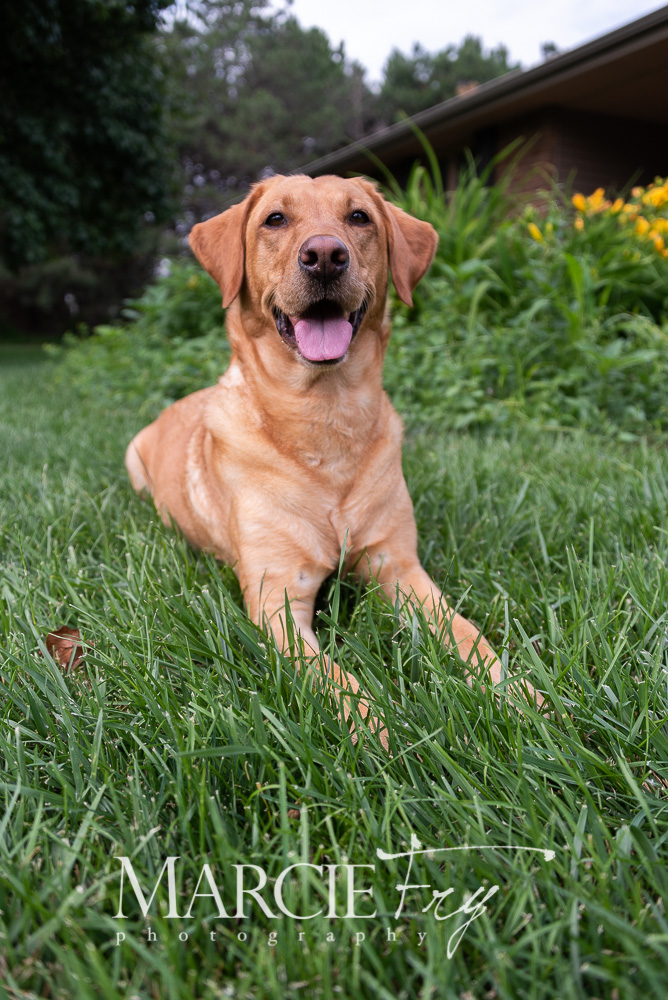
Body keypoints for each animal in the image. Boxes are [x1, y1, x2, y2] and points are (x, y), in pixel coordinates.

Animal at [125, 172, 536, 744]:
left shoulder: (399, 567)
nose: (324, 255)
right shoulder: (277, 600)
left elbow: (467, 633)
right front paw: (381, 731)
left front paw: (519, 694)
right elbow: (335, 677)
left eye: (359, 217)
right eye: (275, 219)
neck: (325, 419)